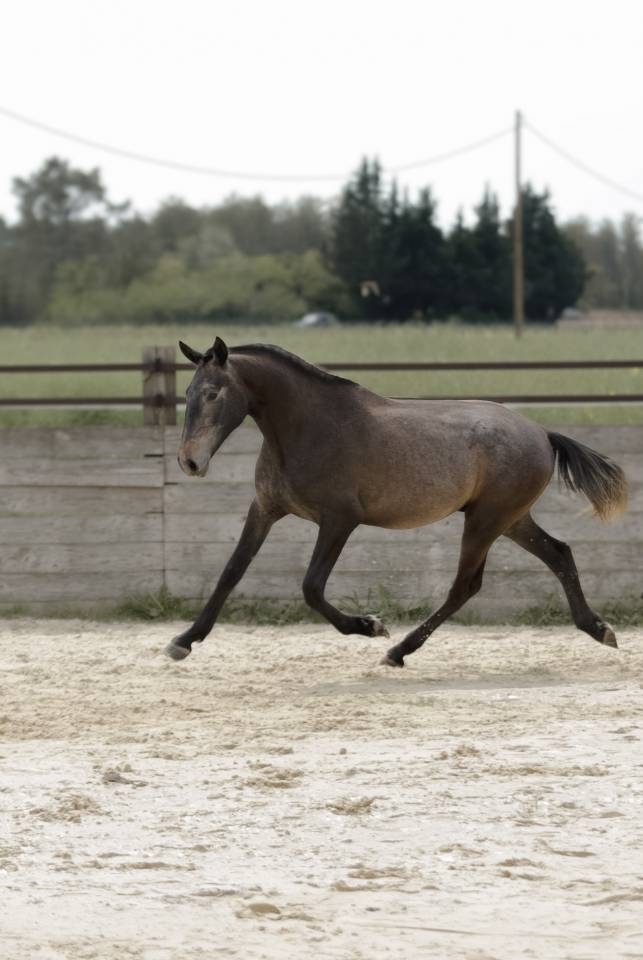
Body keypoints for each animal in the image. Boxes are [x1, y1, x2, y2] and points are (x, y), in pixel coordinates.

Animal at [165, 336, 627, 666]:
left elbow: (312, 587)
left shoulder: (339, 520)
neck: (307, 428)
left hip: (486, 521)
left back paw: (398, 651)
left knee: (465, 585)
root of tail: (543, 434)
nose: (190, 461)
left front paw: (370, 626)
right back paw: (599, 629)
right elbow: (230, 573)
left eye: (213, 393)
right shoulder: (264, 509)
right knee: (559, 554)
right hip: (511, 520)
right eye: (187, 392)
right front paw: (183, 641)